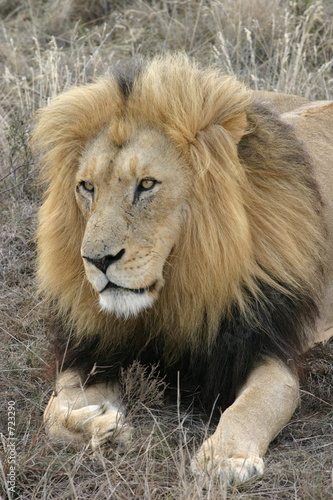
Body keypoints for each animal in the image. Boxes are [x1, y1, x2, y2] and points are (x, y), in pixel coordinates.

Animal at [31, 54, 332, 484]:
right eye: (87, 187)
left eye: (146, 184)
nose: (97, 261)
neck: (176, 287)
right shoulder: (90, 350)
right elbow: (53, 412)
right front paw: (101, 425)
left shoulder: (266, 344)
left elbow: (256, 404)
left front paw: (224, 457)